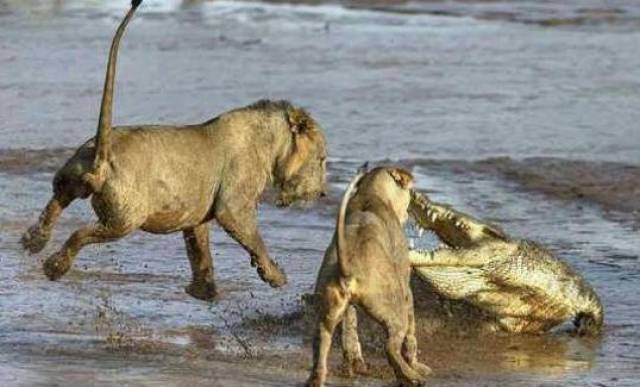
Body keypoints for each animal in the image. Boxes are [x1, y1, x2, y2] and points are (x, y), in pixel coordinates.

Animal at [20, 0, 328, 302]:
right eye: (322, 160)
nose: (324, 193)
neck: (270, 142)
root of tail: (102, 154)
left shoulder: (195, 212)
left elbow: (200, 251)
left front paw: (204, 292)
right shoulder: (234, 205)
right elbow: (253, 239)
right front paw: (275, 277)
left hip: (71, 176)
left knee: (55, 203)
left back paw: (33, 241)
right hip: (125, 219)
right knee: (80, 233)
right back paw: (54, 266)